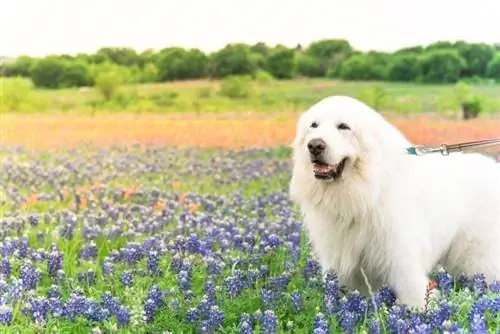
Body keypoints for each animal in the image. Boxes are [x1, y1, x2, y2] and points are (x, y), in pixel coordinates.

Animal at [290, 95, 500, 310]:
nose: (315, 145)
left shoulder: (401, 259)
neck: (362, 193)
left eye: (343, 126)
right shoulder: (339, 259)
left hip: (480, 257)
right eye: (313, 125)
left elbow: (414, 297)